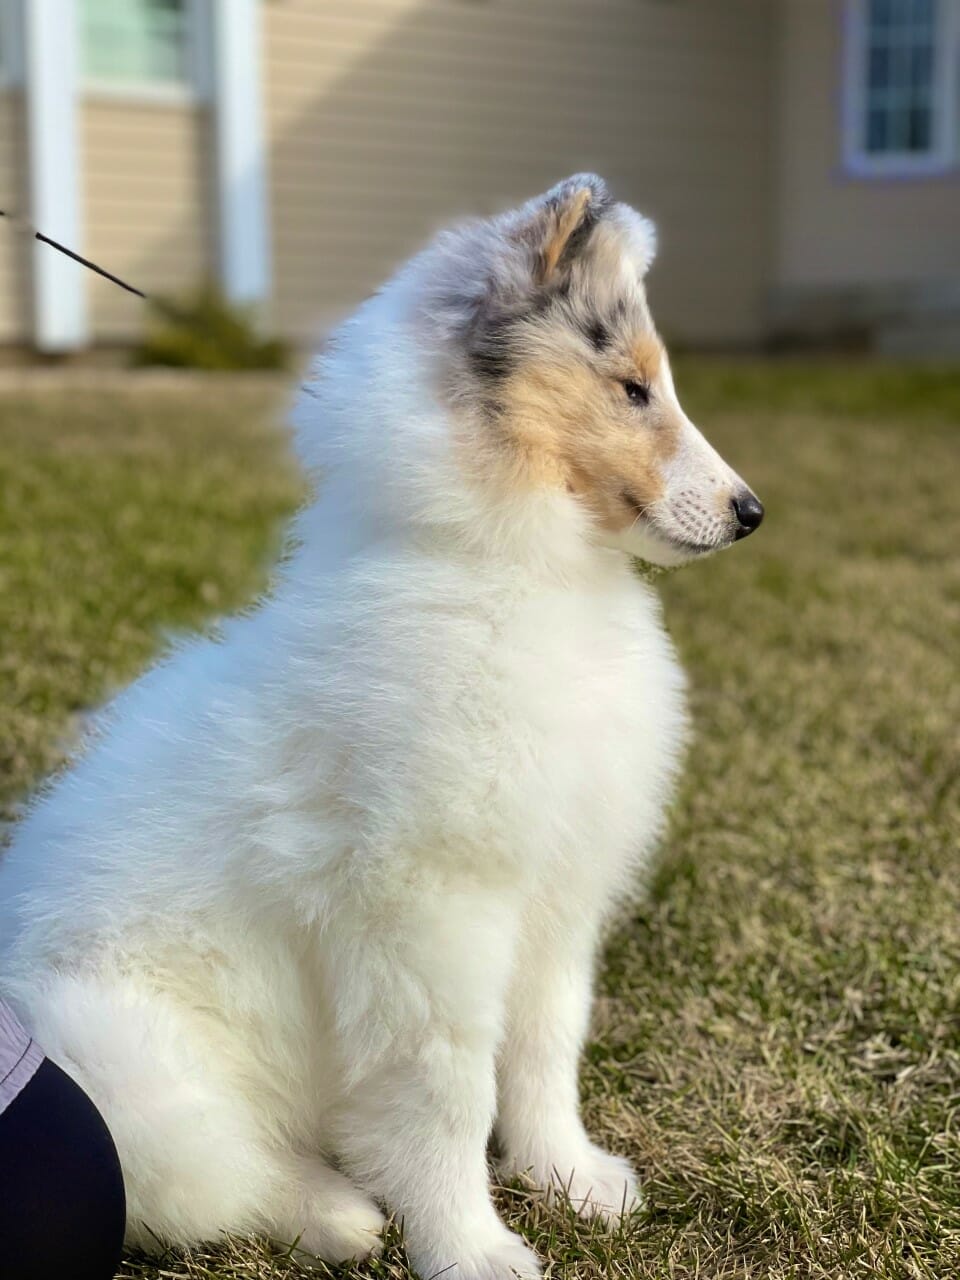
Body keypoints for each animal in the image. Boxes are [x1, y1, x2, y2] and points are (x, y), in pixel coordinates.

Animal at [1, 177, 768, 1280]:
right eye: (632, 390)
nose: (751, 512)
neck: (516, 570)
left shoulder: (554, 896)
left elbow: (544, 1050)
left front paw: (569, 1177)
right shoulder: (431, 913)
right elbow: (448, 1093)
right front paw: (472, 1247)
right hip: (123, 1064)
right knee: (207, 1174)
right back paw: (338, 1210)